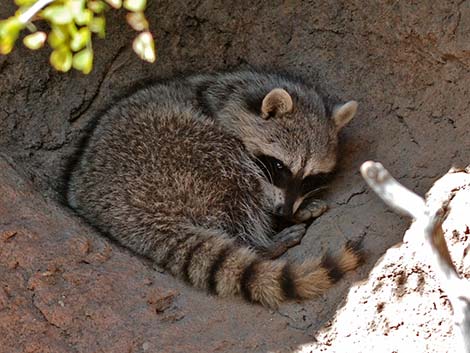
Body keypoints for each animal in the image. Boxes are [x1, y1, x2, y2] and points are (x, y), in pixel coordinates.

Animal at [65, 69, 360, 306]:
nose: (285, 212)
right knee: (234, 175)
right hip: (177, 156)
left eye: (311, 178)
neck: (233, 96)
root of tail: (131, 212)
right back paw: (262, 243)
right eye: (279, 166)